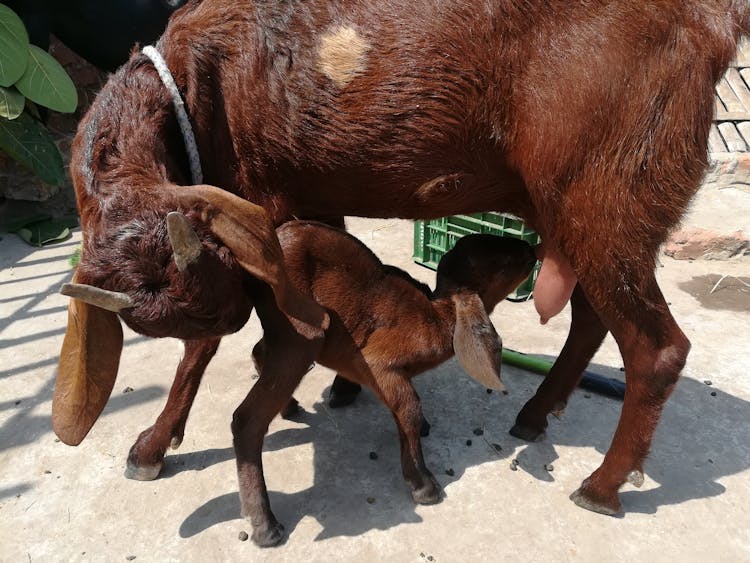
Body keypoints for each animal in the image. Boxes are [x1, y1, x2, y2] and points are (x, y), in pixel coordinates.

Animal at [238, 223, 536, 548]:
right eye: (502, 262)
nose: (533, 249)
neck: (438, 314)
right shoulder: (378, 362)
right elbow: (410, 408)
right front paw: (423, 485)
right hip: (301, 334)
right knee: (247, 418)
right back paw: (265, 525)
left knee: (258, 352)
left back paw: (289, 407)